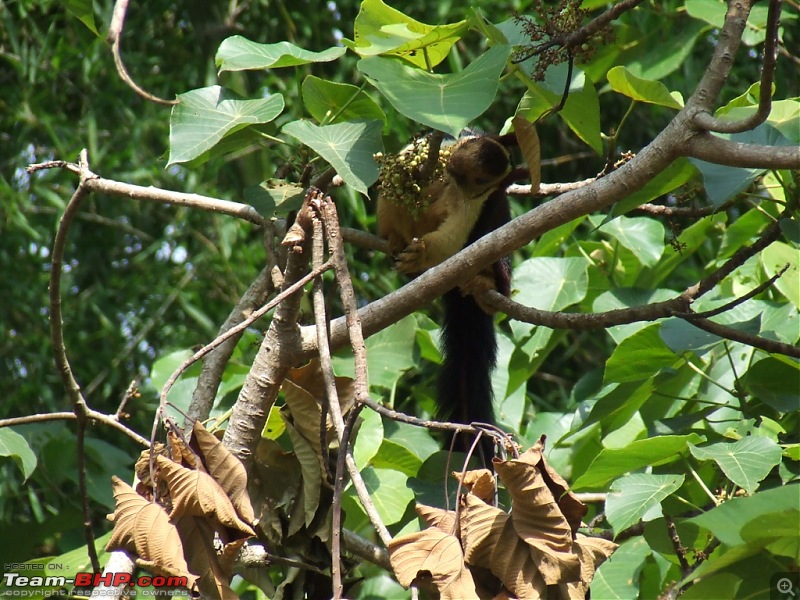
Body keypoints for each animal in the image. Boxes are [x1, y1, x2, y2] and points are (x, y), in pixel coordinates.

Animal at [376, 132, 520, 454]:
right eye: (468, 144)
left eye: (481, 179)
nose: (454, 166)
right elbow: (395, 184)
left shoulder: (478, 203)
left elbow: (451, 238)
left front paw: (421, 254)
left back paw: (483, 285)